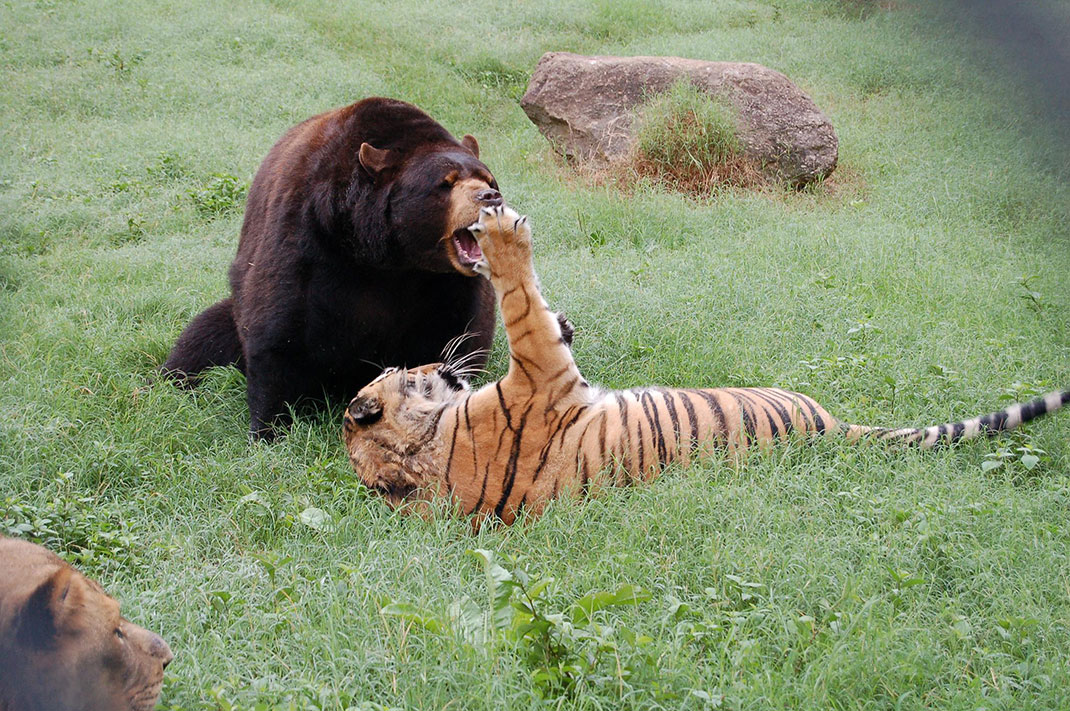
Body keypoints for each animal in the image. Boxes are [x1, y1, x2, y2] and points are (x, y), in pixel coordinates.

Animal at [343, 204, 1069, 526]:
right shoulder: (541, 370)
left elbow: (541, 314)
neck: (428, 451)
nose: (438, 359)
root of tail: (834, 428)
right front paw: (500, 234)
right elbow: (522, 301)